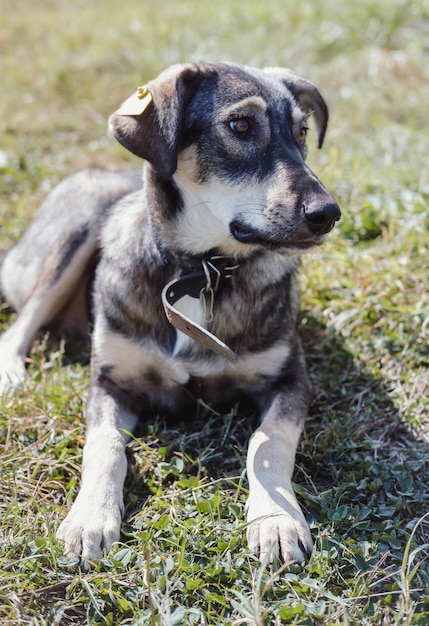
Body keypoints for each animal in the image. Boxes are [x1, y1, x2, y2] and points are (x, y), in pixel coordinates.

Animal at [0, 62, 342, 564]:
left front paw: (276, 520)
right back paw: (11, 373)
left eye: (301, 131)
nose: (328, 213)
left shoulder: (289, 378)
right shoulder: (111, 382)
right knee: (19, 326)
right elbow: (104, 445)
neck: (198, 272)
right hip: (76, 230)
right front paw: (89, 518)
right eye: (241, 126)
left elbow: (268, 441)